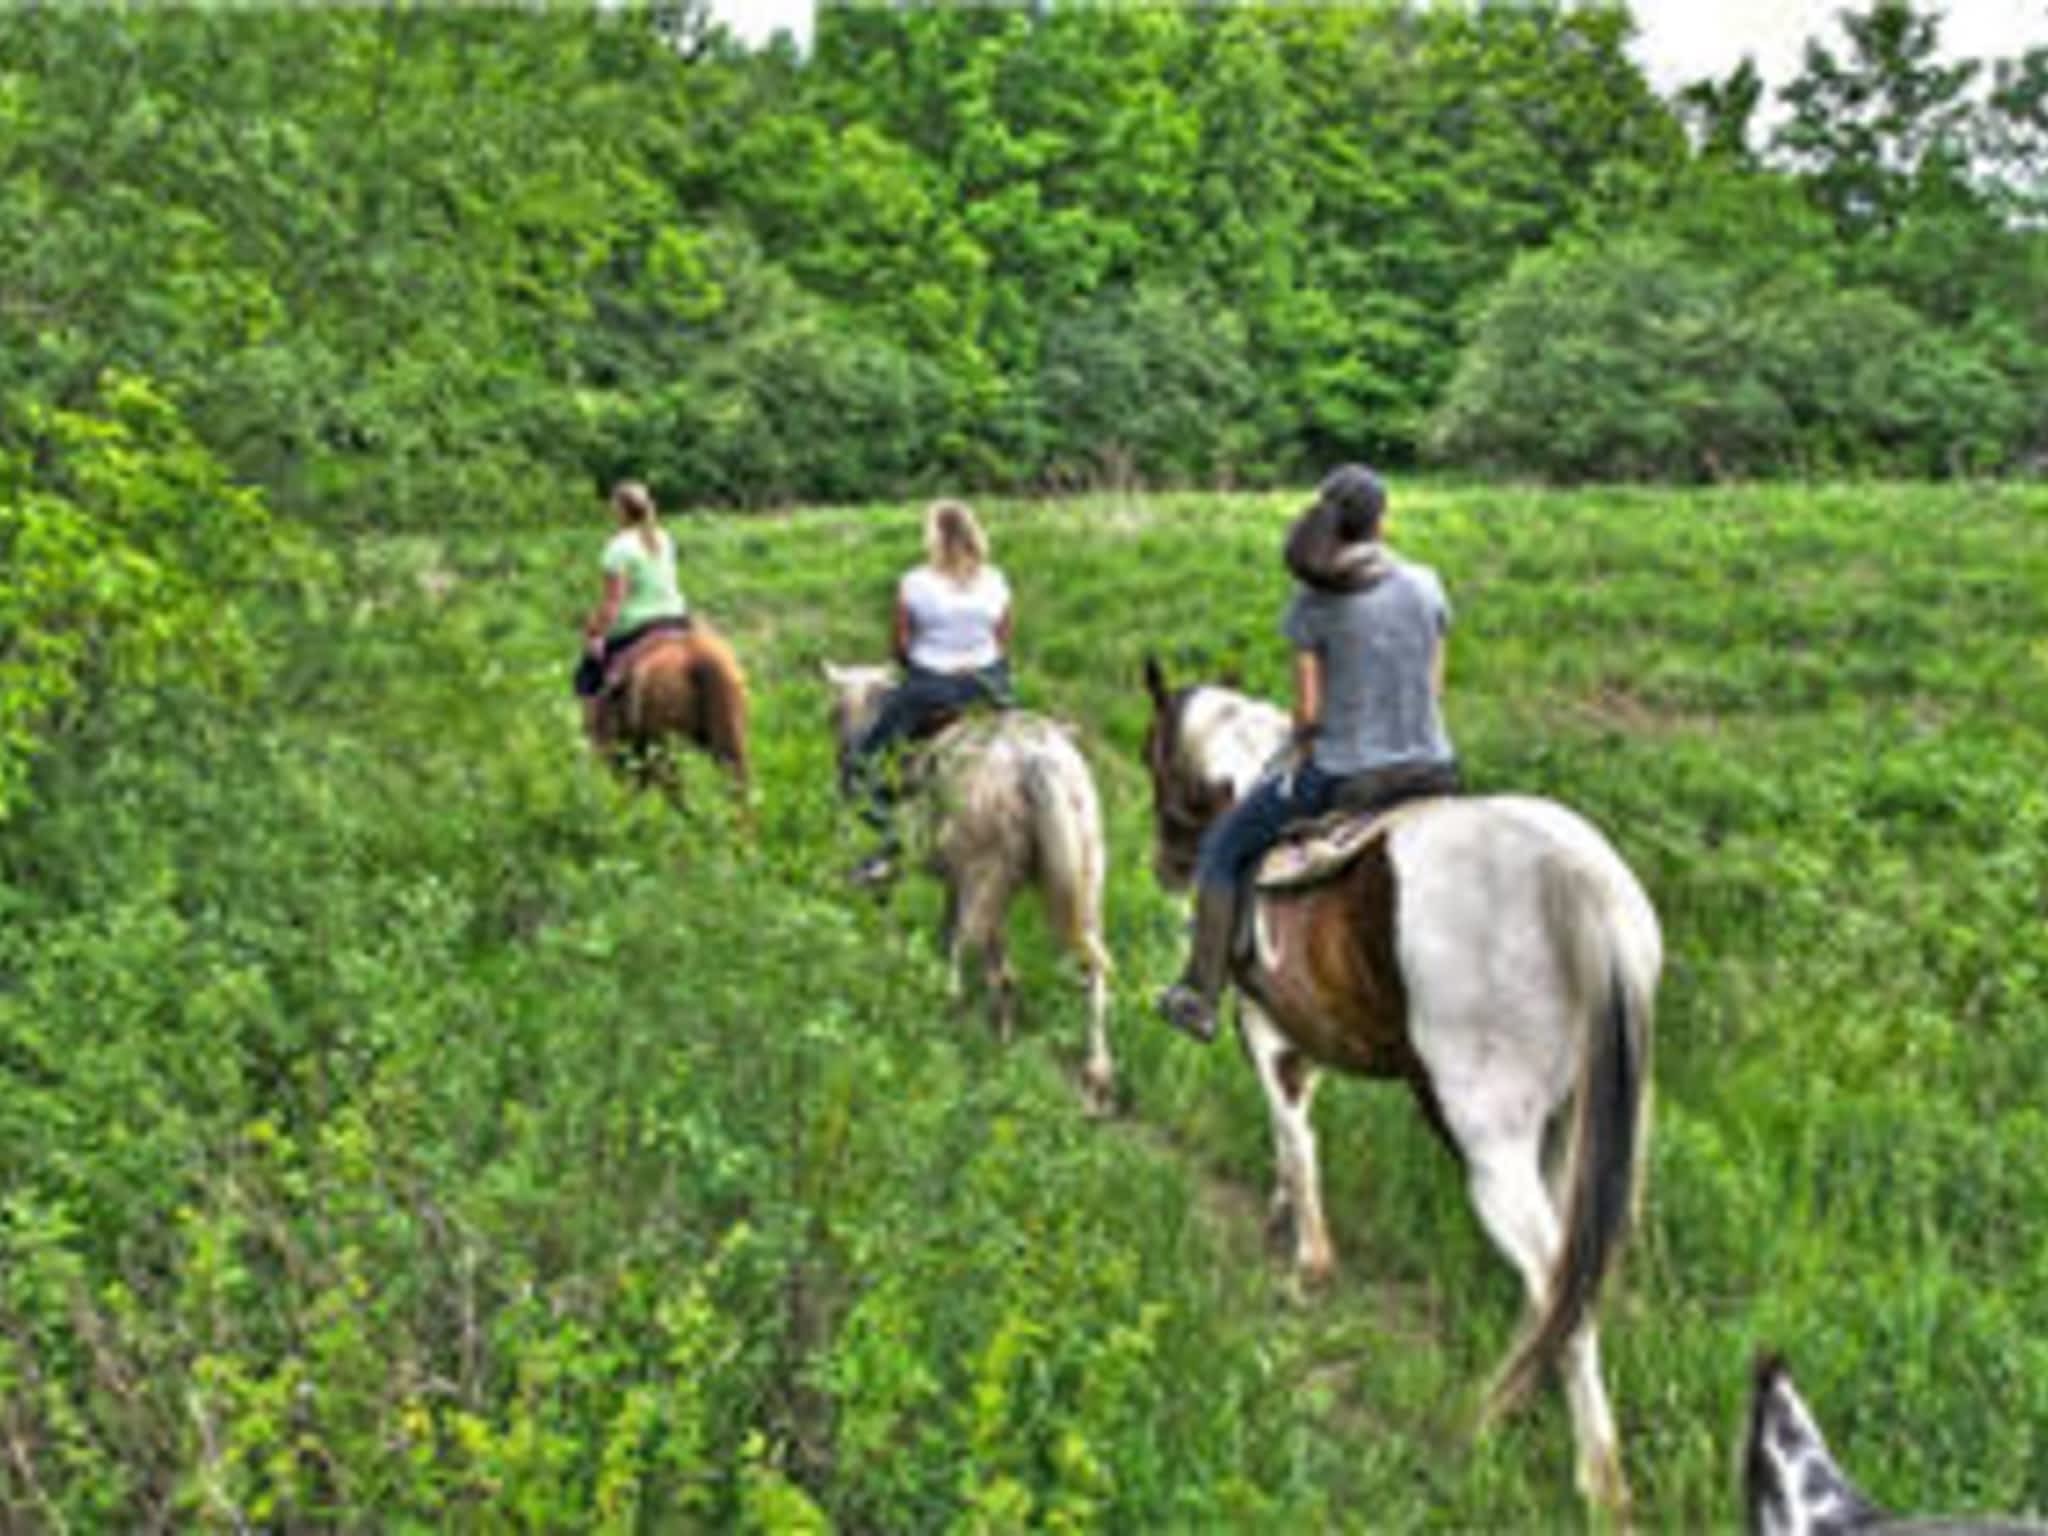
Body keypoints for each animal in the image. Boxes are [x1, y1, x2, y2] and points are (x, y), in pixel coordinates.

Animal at [819, 667, 1122, 1114]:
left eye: (834, 711)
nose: (844, 767)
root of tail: (1038, 759)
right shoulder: (958, 881)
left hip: (985, 874)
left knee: (967, 958)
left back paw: (946, 1023)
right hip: (1081, 881)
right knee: (1086, 969)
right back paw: (1094, 1075)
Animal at [1138, 655, 1662, 1507]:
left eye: (1152, 751)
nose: (1168, 865)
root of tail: (1581, 882)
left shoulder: (1264, 1029)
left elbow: (1293, 1137)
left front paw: (1308, 1264)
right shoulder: (1303, 1038)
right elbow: (1293, 1136)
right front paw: (1283, 1222)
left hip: (1489, 1143)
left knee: (1558, 1282)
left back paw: (1599, 1480)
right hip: (1570, 1132)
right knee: (1565, 1278)